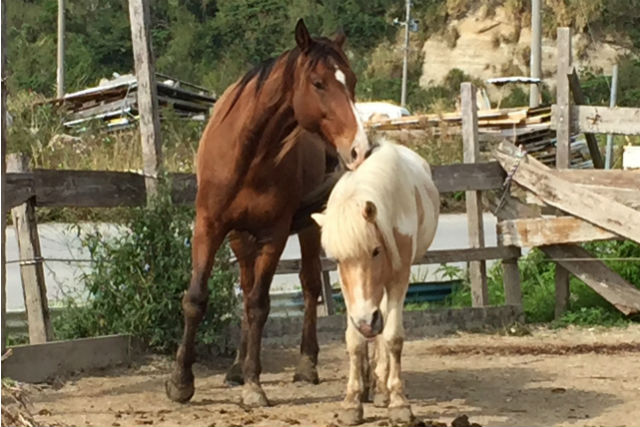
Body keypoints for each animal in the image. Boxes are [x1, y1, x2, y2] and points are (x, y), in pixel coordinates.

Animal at [165, 20, 372, 408]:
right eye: (318, 83)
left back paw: (306, 363)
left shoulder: (273, 235)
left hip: (308, 228)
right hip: (239, 237)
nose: (359, 149)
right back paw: (235, 366)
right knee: (247, 288)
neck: (249, 152)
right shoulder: (209, 227)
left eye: (351, 81)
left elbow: (260, 305)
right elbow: (197, 299)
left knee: (308, 285)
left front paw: (254, 383)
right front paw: (181, 381)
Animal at [312, 140, 440, 424]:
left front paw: (398, 402)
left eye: (375, 251)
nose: (365, 322)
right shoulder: (351, 294)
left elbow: (392, 337)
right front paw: (352, 402)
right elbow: (355, 340)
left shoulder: (399, 279)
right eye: (337, 259)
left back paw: (382, 388)